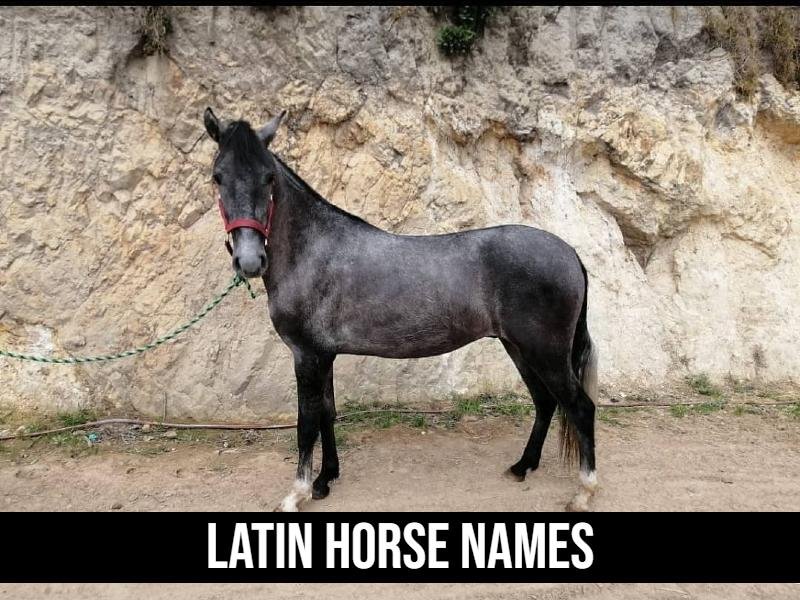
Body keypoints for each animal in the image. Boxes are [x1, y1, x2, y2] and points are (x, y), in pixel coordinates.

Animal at [203, 107, 599, 512]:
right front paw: (325, 479)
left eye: (268, 177)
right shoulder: (324, 355)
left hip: (545, 353)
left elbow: (306, 423)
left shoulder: (307, 355)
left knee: (580, 408)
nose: (250, 260)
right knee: (545, 402)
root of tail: (570, 253)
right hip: (519, 348)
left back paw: (584, 492)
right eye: (218, 176)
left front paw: (297, 493)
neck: (312, 251)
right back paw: (522, 466)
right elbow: (327, 413)